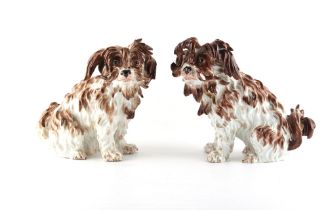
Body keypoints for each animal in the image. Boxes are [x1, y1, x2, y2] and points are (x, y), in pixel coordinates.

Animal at [170, 37, 314, 162]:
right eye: (186, 59)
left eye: (201, 60)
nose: (186, 68)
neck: (216, 83)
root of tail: (287, 139)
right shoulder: (218, 121)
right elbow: (217, 137)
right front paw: (213, 147)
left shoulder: (227, 123)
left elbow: (223, 140)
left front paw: (218, 155)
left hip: (259, 132)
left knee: (269, 157)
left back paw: (253, 157)